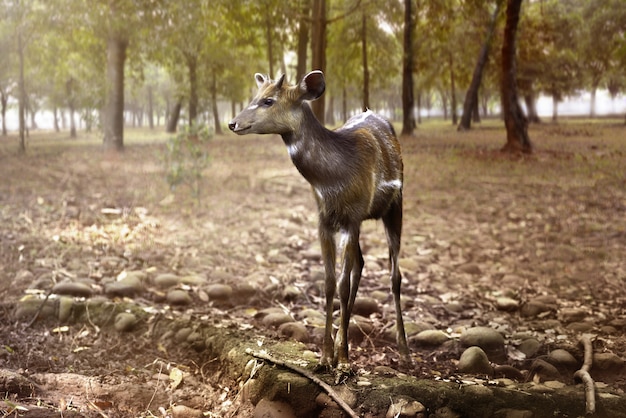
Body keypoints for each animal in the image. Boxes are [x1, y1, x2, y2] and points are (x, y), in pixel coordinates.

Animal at [229, 69, 410, 376]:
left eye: (268, 100)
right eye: (256, 95)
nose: (233, 123)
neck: (332, 179)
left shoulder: (351, 217)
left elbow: (342, 284)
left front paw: (345, 363)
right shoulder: (324, 219)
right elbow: (328, 282)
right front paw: (326, 358)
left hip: (395, 205)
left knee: (394, 274)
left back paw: (405, 352)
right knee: (361, 264)